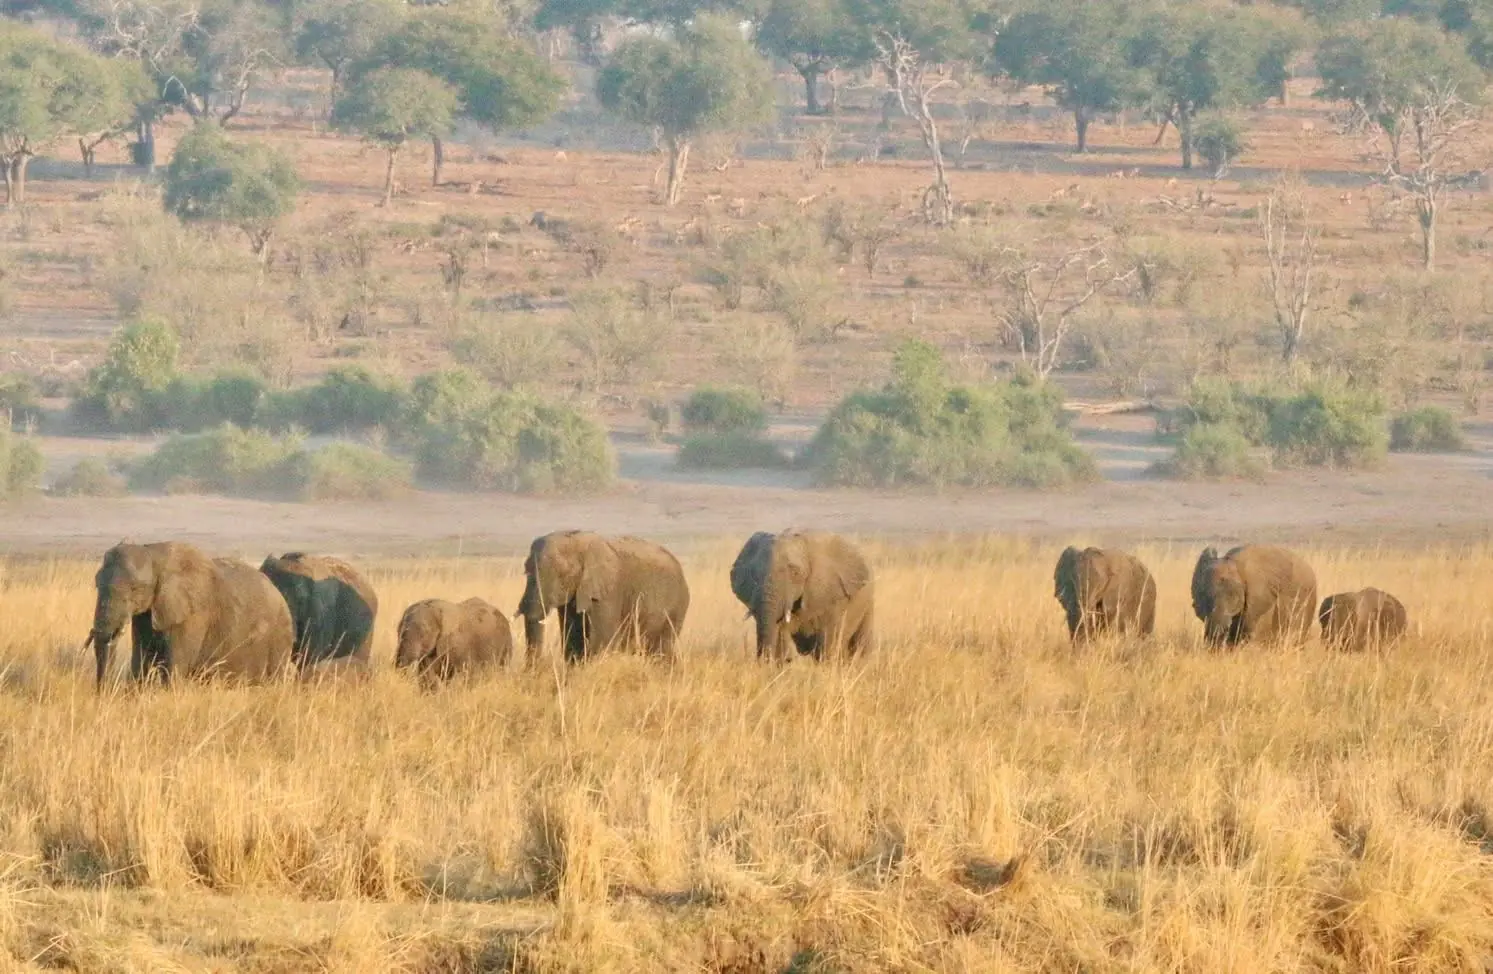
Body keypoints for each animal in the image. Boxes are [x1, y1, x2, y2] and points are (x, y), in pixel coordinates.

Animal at [87, 541, 294, 687]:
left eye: (135, 588)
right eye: (97, 583)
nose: (101, 693)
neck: (153, 554)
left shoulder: (194, 615)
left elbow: (175, 667)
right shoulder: (147, 612)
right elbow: (141, 662)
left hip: (279, 637)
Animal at [517, 531, 690, 664]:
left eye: (563, 574)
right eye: (526, 571)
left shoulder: (608, 592)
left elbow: (601, 641)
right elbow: (573, 639)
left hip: (675, 606)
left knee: (661, 649)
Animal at [730, 530, 874, 661]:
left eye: (795, 573)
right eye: (754, 574)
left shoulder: (832, 594)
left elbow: (827, 642)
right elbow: (781, 638)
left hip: (867, 604)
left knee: (859, 645)